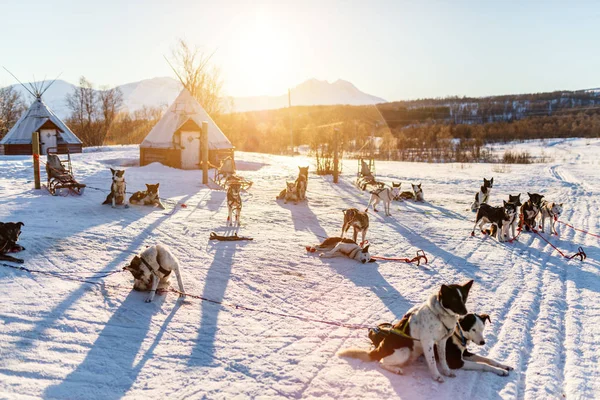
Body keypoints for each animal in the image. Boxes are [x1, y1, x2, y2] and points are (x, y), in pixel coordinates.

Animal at [338, 280, 474, 382]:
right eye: (454, 299)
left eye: (464, 298)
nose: (465, 311)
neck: (439, 315)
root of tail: (378, 349)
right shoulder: (428, 342)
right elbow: (432, 361)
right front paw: (436, 376)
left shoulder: (441, 341)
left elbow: (443, 359)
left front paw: (446, 371)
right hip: (405, 351)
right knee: (381, 362)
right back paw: (396, 369)